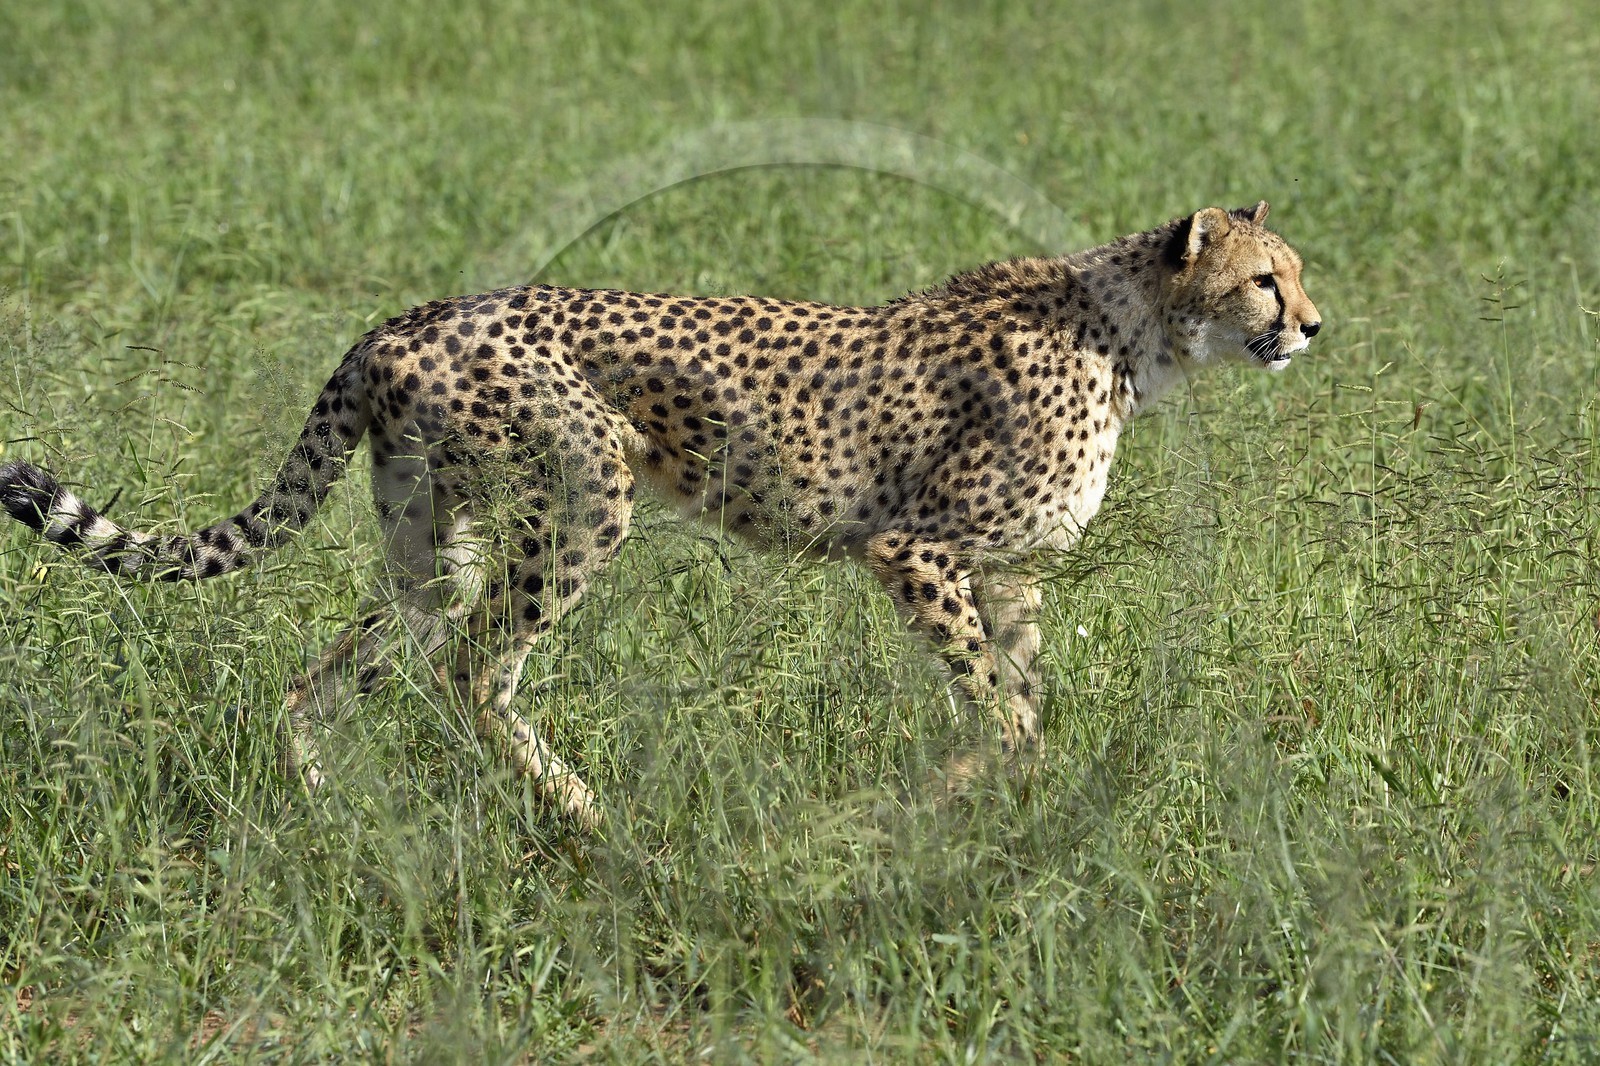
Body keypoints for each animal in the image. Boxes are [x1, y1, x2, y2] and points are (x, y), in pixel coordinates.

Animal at [0, 201, 1320, 829]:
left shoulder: (1011, 571)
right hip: (587, 497)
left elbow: (1027, 698)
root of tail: (405, 316)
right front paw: (929, 804)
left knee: (340, 670)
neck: (1136, 336)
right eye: (1265, 277)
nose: (1312, 325)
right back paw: (587, 814)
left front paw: (1014, 809)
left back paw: (326, 814)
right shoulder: (913, 547)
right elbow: (997, 706)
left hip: (434, 542)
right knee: (477, 669)